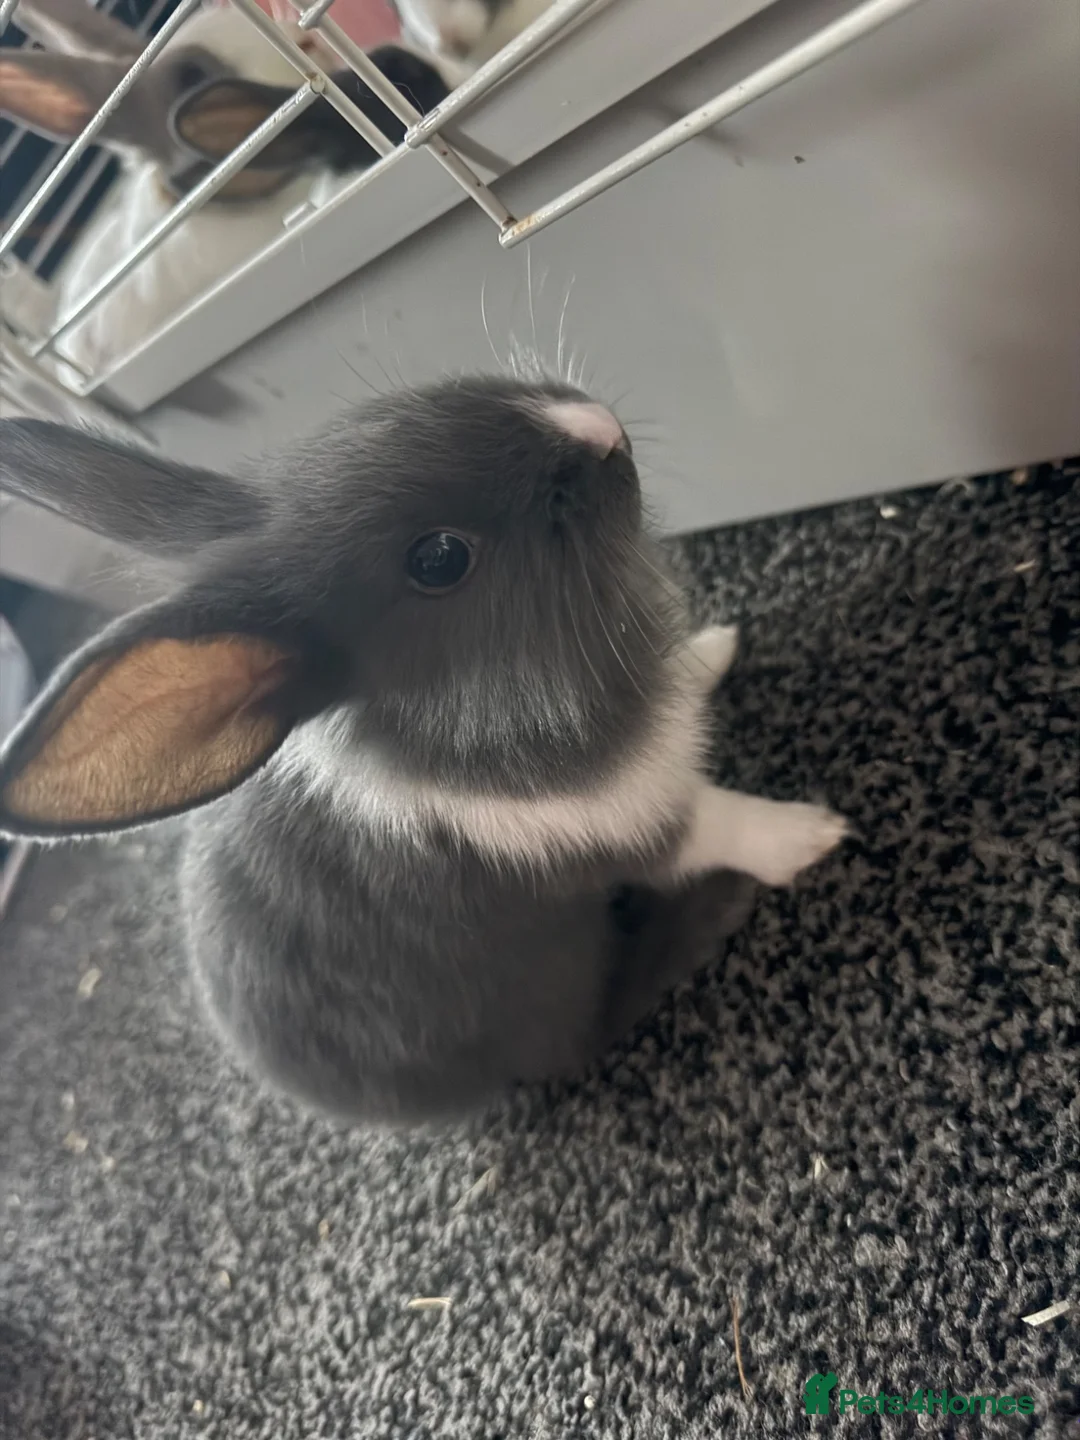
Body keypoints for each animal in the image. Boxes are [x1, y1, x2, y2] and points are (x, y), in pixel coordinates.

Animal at [0, 377, 848, 1126]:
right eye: (438, 560)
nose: (597, 429)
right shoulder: (620, 828)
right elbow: (718, 822)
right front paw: (813, 834)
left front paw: (719, 647)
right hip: (552, 987)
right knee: (597, 1024)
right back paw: (717, 909)